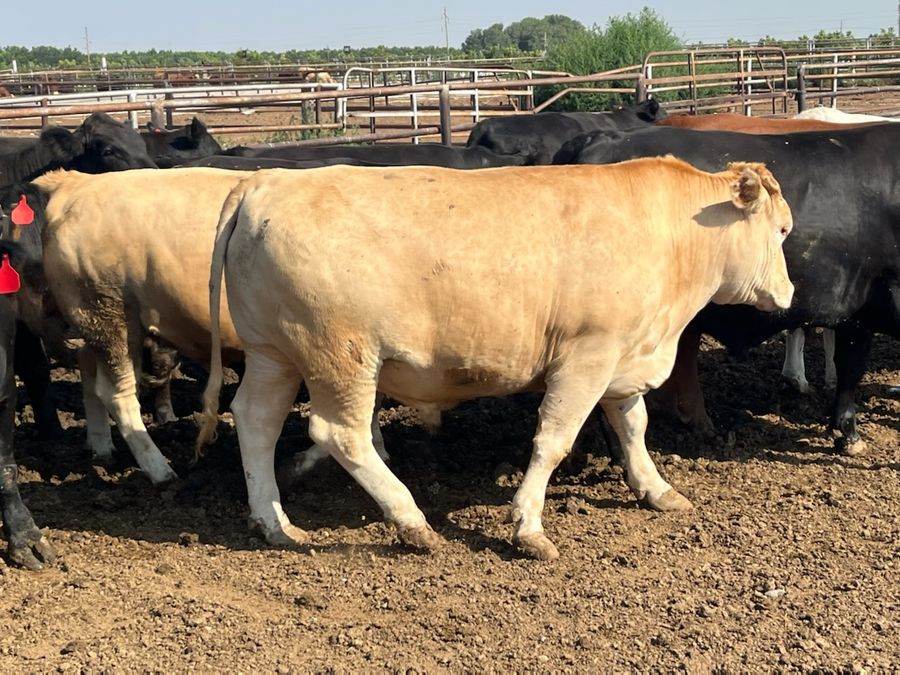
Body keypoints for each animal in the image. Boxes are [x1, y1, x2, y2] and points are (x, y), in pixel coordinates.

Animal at [198, 159, 794, 559]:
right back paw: (412, 522)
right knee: (340, 434)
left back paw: (274, 522)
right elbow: (554, 440)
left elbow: (633, 427)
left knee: (255, 421)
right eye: (782, 230)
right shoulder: (588, 356)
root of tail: (264, 183)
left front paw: (656, 489)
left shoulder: (623, 358)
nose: (788, 293)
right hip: (340, 355)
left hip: (273, 353)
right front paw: (529, 527)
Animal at [566, 124, 900, 455]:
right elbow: (852, 369)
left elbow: (848, 368)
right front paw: (850, 434)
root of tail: (600, 137)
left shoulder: (857, 315)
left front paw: (843, 430)